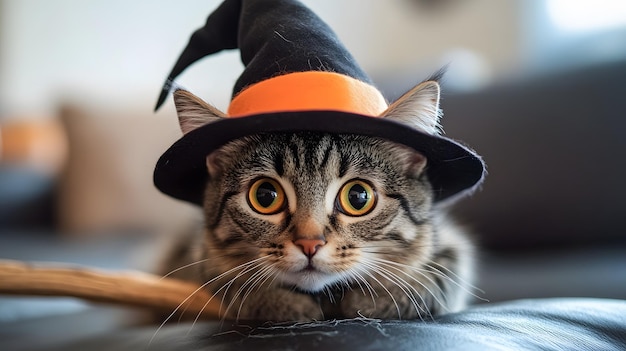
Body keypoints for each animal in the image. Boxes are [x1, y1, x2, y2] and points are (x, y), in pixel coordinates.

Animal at [158, 80, 476, 324]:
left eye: (358, 197)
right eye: (264, 195)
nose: (309, 244)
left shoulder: (451, 244)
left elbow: (436, 280)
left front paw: (373, 300)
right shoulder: (199, 253)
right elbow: (226, 279)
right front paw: (284, 304)